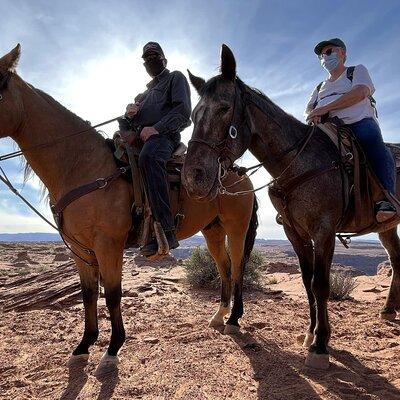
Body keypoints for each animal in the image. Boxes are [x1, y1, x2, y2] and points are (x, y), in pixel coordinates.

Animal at [0, 44, 258, 372]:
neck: (82, 166)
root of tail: (241, 172)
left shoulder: (108, 244)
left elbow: (112, 295)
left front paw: (112, 350)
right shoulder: (80, 249)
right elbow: (88, 295)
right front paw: (84, 346)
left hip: (236, 227)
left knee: (237, 267)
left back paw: (234, 320)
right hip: (212, 230)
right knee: (223, 267)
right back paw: (218, 316)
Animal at [184, 43, 400, 368]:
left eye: (223, 108)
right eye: (194, 114)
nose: (193, 176)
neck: (300, 161)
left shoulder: (323, 230)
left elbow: (320, 284)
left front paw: (321, 347)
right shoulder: (294, 232)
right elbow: (307, 281)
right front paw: (311, 335)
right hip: (386, 227)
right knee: (397, 260)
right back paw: (388, 309)